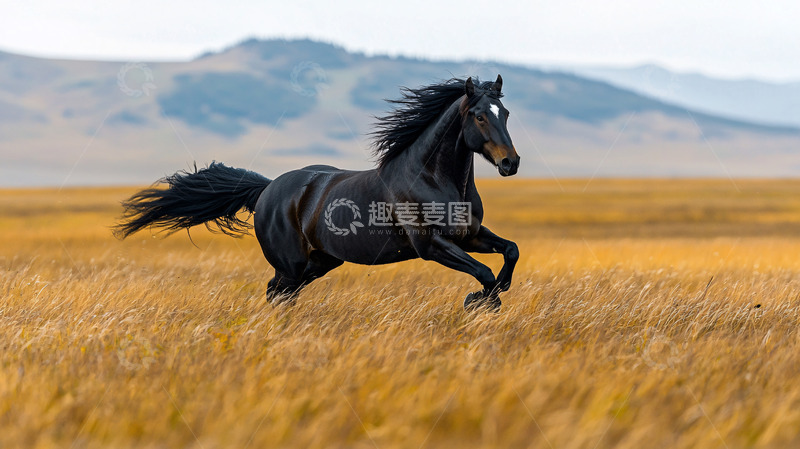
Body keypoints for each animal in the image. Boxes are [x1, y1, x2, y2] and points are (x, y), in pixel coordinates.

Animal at [114, 75, 520, 311]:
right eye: (480, 115)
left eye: (506, 113)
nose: (510, 163)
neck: (435, 180)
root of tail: (267, 189)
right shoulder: (431, 245)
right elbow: (484, 272)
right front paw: (479, 301)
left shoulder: (468, 236)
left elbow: (510, 251)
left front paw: (494, 294)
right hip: (291, 262)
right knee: (277, 291)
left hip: (321, 260)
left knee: (280, 293)